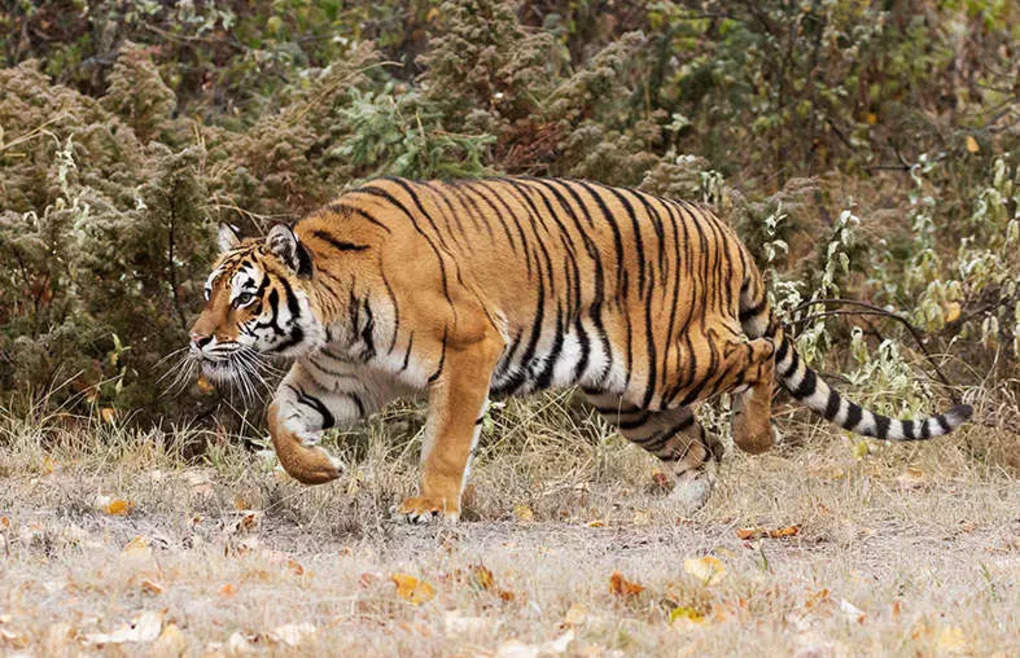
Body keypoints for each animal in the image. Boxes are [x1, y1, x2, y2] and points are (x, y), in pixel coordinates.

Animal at [187, 175, 975, 522]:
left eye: (247, 297)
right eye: (209, 290)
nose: (196, 339)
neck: (332, 313)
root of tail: (725, 232)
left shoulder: (471, 345)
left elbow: (446, 441)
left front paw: (431, 507)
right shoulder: (341, 374)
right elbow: (281, 418)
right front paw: (320, 469)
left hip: (670, 358)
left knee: (753, 362)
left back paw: (757, 437)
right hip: (630, 396)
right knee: (700, 449)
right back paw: (675, 509)